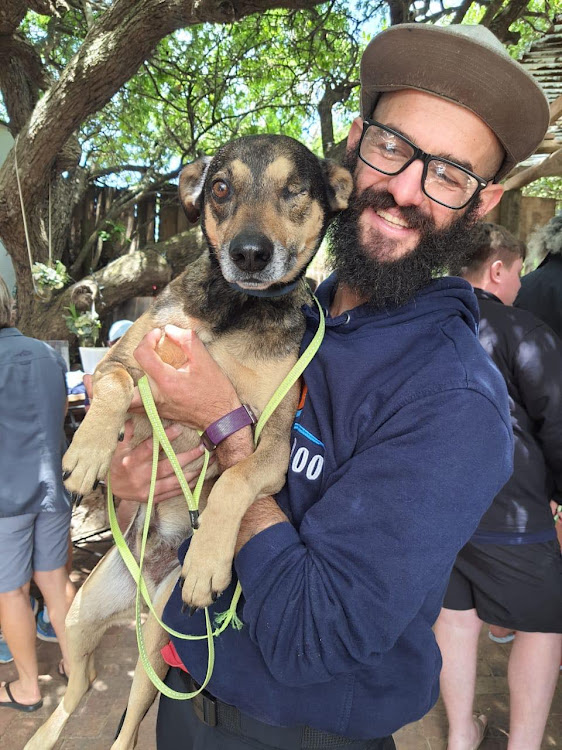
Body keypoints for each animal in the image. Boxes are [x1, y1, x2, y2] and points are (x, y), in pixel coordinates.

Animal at [26, 135, 350, 750]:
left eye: (294, 189)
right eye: (220, 188)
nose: (249, 254)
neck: (236, 309)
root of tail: (144, 578)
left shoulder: (271, 443)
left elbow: (232, 484)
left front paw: (206, 561)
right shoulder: (127, 362)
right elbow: (113, 387)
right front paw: (87, 452)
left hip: (156, 642)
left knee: (127, 722)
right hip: (78, 615)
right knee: (78, 689)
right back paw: (42, 735)